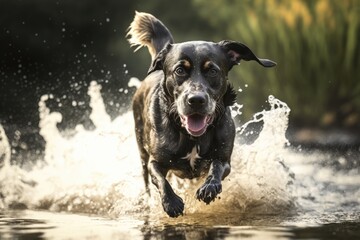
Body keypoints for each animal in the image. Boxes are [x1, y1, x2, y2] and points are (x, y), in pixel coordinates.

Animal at [126, 11, 276, 218]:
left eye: (212, 70)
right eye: (180, 70)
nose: (196, 100)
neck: (191, 136)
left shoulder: (224, 158)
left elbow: (217, 167)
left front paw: (209, 187)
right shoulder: (156, 161)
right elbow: (160, 178)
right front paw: (171, 202)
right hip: (141, 150)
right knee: (147, 179)